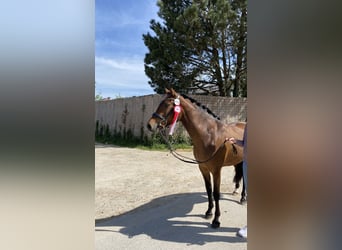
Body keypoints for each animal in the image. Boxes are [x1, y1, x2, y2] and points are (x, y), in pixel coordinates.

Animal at [147, 88, 246, 229]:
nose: (150, 125)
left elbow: (216, 193)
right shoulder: (203, 168)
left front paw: (216, 220)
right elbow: (209, 190)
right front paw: (209, 212)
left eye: (167, 105)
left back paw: (243, 198)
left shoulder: (216, 170)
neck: (208, 135)